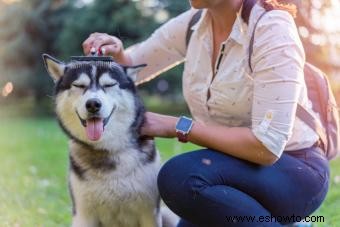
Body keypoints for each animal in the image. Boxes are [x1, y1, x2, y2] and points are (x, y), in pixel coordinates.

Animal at [41, 55, 178, 227]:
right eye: (79, 85)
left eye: (109, 85)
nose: (93, 104)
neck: (107, 149)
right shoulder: (83, 214)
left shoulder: (149, 212)